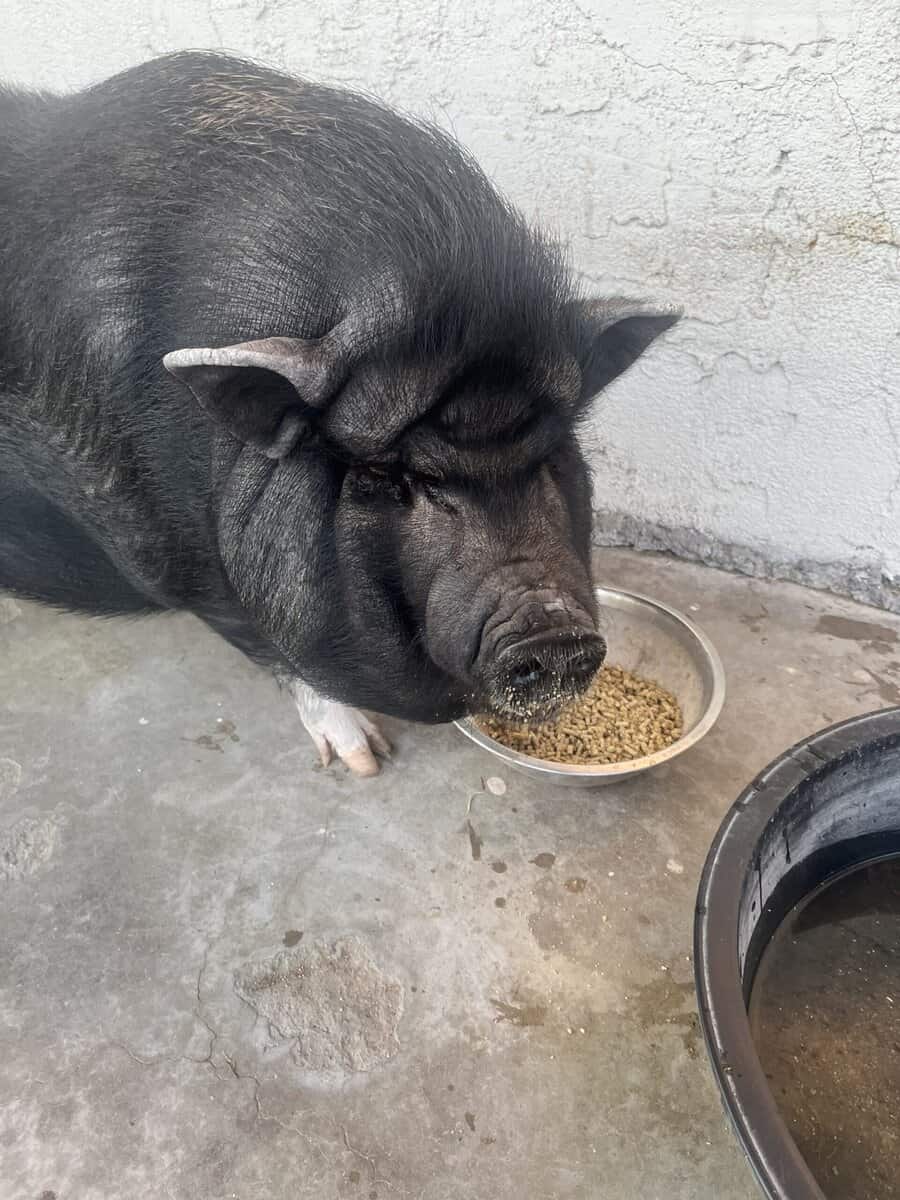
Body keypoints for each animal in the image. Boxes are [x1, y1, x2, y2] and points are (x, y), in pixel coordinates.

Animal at [0, 52, 678, 775]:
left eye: (549, 452)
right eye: (390, 476)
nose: (554, 635)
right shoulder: (179, 561)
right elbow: (276, 651)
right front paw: (366, 760)